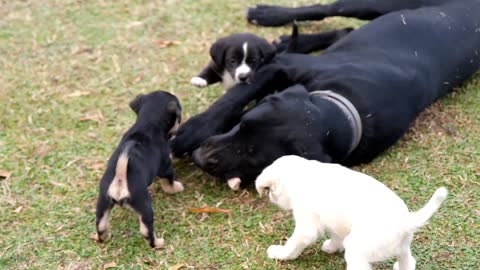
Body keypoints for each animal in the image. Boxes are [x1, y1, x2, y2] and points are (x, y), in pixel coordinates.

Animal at [94, 90, 183, 249]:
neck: (146, 123)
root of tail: (120, 179)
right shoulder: (166, 167)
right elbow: (169, 182)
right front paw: (176, 188)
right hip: (144, 206)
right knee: (146, 231)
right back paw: (158, 243)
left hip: (103, 203)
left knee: (101, 225)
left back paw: (105, 237)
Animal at [172, 0, 480, 189]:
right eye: (244, 124)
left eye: (255, 156)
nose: (201, 157)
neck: (343, 108)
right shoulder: (281, 67)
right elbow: (232, 98)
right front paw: (191, 132)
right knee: (326, 9)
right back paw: (268, 14)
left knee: (343, 27)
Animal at [256, 155, 448, 268]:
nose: (270, 197)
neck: (302, 174)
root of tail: (406, 221)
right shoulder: (336, 222)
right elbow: (336, 236)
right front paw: (331, 247)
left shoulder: (306, 227)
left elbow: (294, 244)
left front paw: (280, 254)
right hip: (403, 249)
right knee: (408, 262)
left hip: (357, 251)